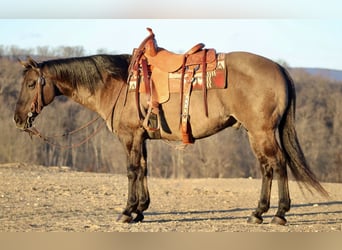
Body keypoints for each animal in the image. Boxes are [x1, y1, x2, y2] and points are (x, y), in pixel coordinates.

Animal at [14, 48, 328, 225]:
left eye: (30, 84)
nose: (18, 119)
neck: (117, 85)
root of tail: (280, 69)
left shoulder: (130, 137)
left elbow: (132, 171)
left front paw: (127, 212)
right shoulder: (141, 138)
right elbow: (143, 169)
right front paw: (141, 210)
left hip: (261, 132)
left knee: (278, 165)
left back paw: (278, 214)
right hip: (256, 133)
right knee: (267, 168)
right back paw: (259, 213)